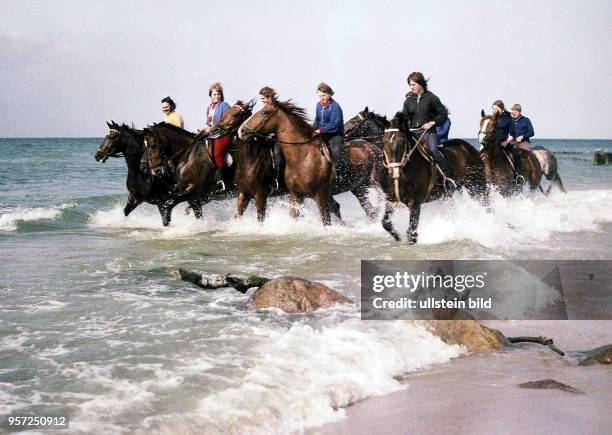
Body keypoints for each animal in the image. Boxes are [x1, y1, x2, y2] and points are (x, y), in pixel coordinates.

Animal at [378, 112, 488, 245]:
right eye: (384, 141)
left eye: (402, 141)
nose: (395, 172)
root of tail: (471, 149)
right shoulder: (390, 199)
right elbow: (386, 223)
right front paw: (398, 237)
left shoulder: (415, 202)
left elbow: (411, 233)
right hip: (451, 193)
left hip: (477, 187)